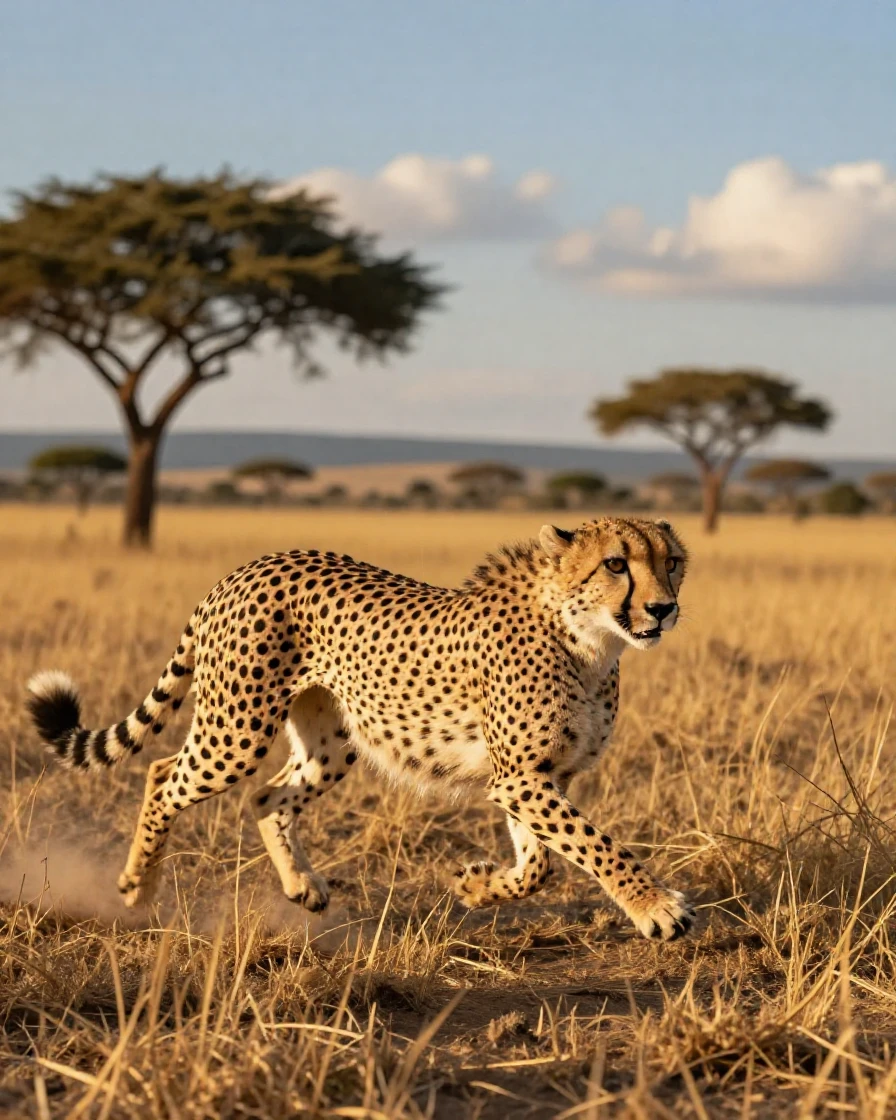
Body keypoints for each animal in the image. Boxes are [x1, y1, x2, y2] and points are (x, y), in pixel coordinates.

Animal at [26, 515, 696, 941]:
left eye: (672, 563)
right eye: (616, 564)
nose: (664, 609)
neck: (589, 640)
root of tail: (250, 567)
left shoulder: (537, 775)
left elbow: (541, 866)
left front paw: (478, 888)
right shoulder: (523, 778)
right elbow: (595, 845)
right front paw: (656, 908)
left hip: (330, 741)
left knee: (268, 794)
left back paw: (301, 885)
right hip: (236, 729)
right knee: (165, 774)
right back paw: (137, 888)